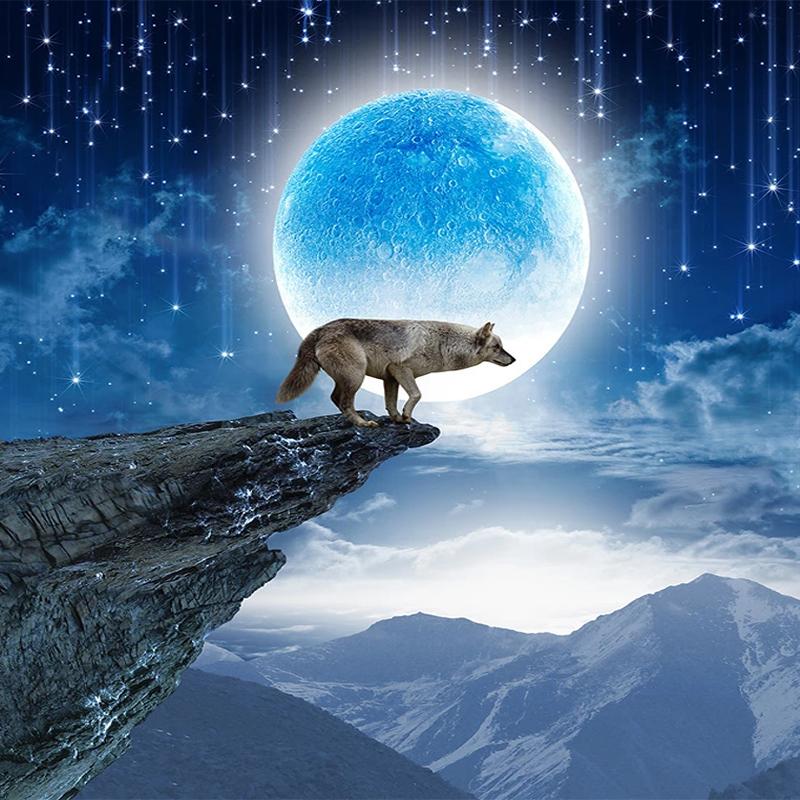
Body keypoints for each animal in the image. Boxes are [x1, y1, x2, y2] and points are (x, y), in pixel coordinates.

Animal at [276, 319, 516, 427]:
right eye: (497, 347)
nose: (514, 360)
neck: (442, 343)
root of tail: (319, 330)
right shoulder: (400, 369)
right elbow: (417, 394)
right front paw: (407, 415)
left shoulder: (390, 376)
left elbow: (391, 403)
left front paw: (398, 419)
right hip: (356, 376)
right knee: (343, 401)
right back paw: (362, 424)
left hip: (350, 377)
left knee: (336, 398)